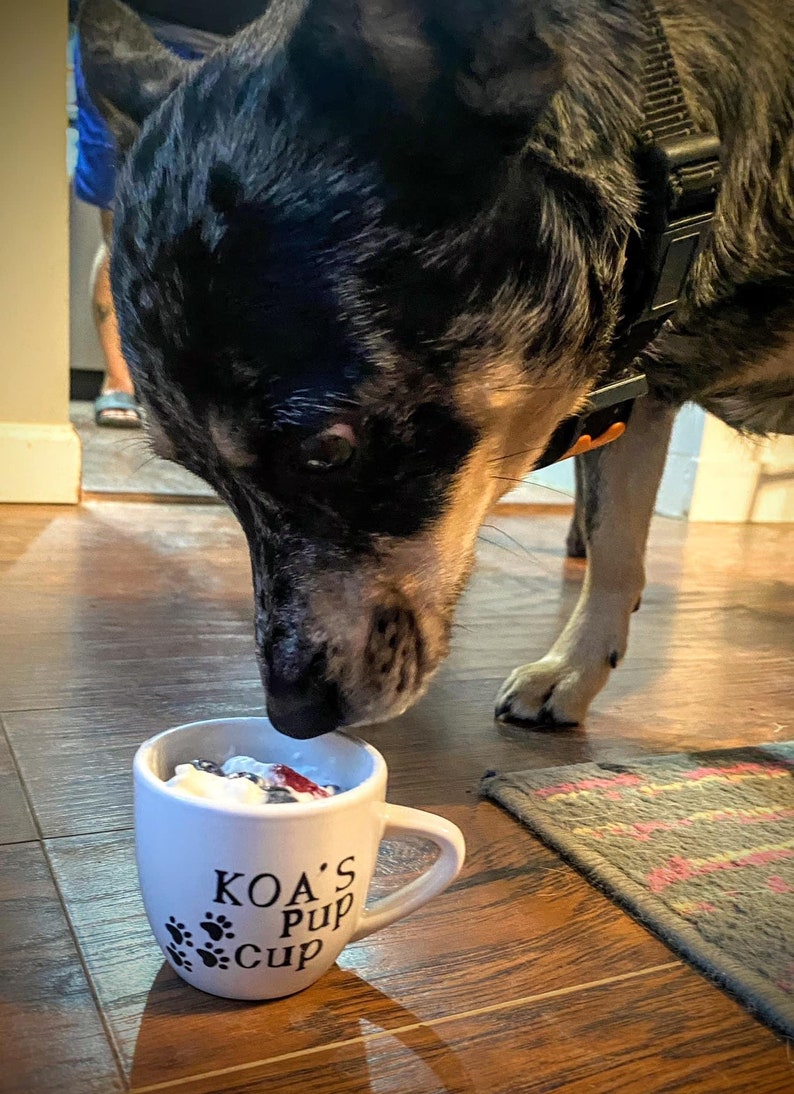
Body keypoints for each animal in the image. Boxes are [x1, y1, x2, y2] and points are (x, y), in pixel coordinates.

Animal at [76, 0, 794, 739]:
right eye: (197, 475)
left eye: (326, 449)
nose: (292, 716)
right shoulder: (642, 396)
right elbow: (612, 547)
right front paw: (572, 670)